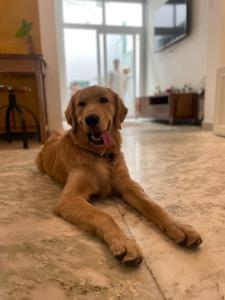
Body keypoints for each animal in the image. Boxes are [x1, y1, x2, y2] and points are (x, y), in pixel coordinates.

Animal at [36, 84, 202, 264]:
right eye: (81, 104)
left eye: (104, 100)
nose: (91, 119)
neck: (100, 155)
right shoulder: (70, 197)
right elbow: (104, 216)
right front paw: (123, 242)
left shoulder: (127, 184)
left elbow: (152, 204)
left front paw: (179, 226)